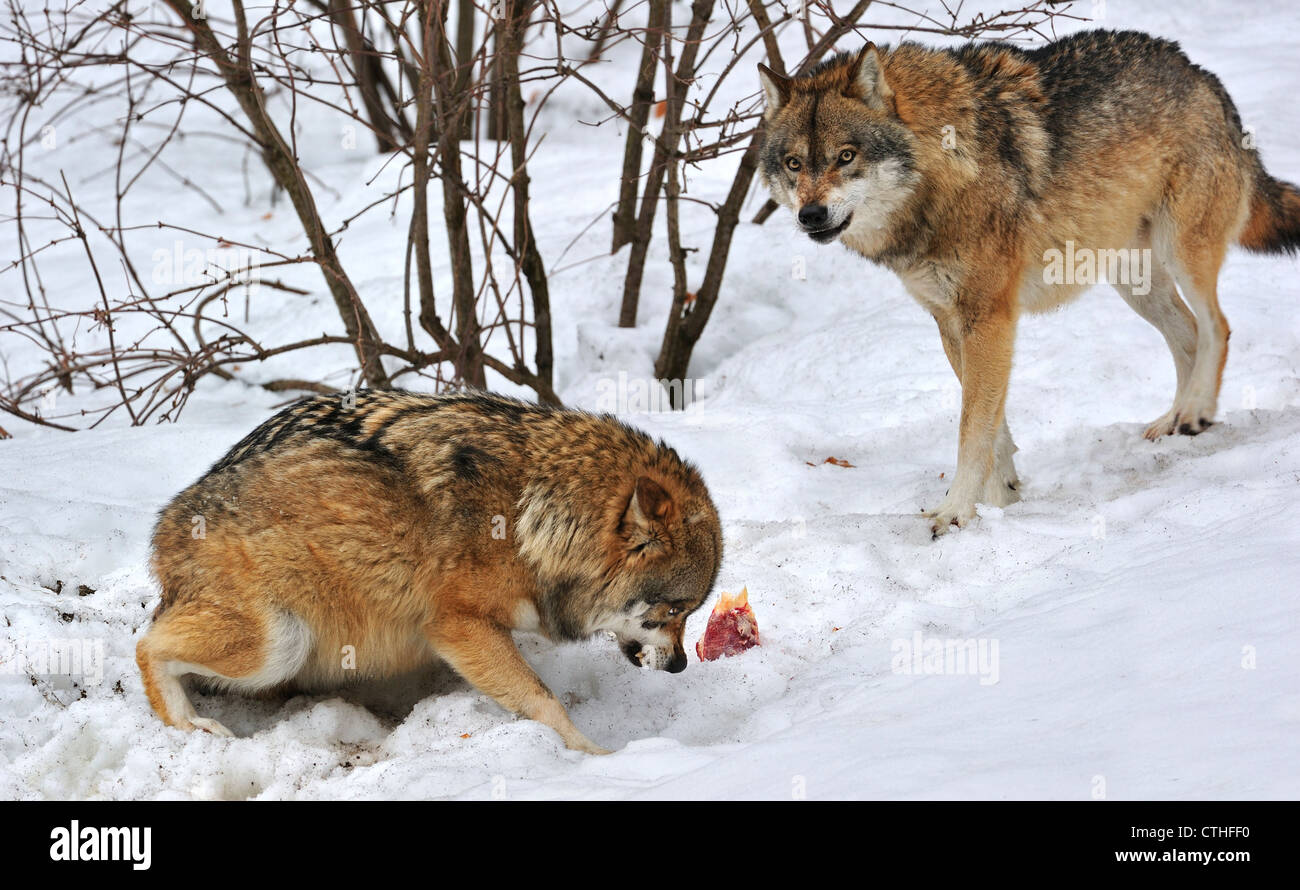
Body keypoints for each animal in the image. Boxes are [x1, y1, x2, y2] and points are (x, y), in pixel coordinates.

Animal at [138, 389, 728, 748]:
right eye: (672, 610)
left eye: (687, 613)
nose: (681, 666)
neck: (531, 519)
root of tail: (166, 529)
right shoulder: (458, 626)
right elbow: (543, 701)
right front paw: (594, 757)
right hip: (281, 641)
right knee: (147, 646)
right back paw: (190, 723)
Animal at [759, 29, 1300, 535]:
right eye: (794, 164)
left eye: (846, 156)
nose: (811, 215)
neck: (944, 167)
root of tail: (1203, 75)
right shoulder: (951, 321)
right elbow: (992, 424)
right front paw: (1000, 499)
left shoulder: (989, 318)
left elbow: (972, 428)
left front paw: (955, 512)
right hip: (1135, 282)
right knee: (1188, 336)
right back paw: (1175, 420)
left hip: (1183, 254)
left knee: (1217, 328)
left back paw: (1196, 412)